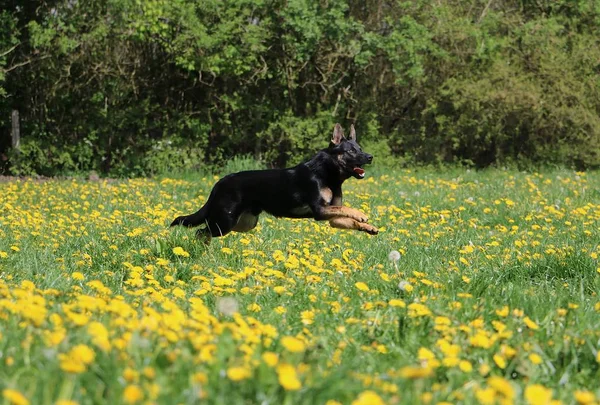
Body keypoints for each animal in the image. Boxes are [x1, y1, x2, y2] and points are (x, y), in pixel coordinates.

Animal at [169, 123, 378, 240]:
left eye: (360, 149)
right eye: (351, 151)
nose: (370, 157)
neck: (327, 173)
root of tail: (220, 183)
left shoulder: (333, 219)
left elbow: (348, 218)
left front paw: (368, 227)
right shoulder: (320, 210)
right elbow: (347, 209)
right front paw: (361, 214)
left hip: (244, 223)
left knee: (203, 232)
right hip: (225, 221)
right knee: (200, 232)